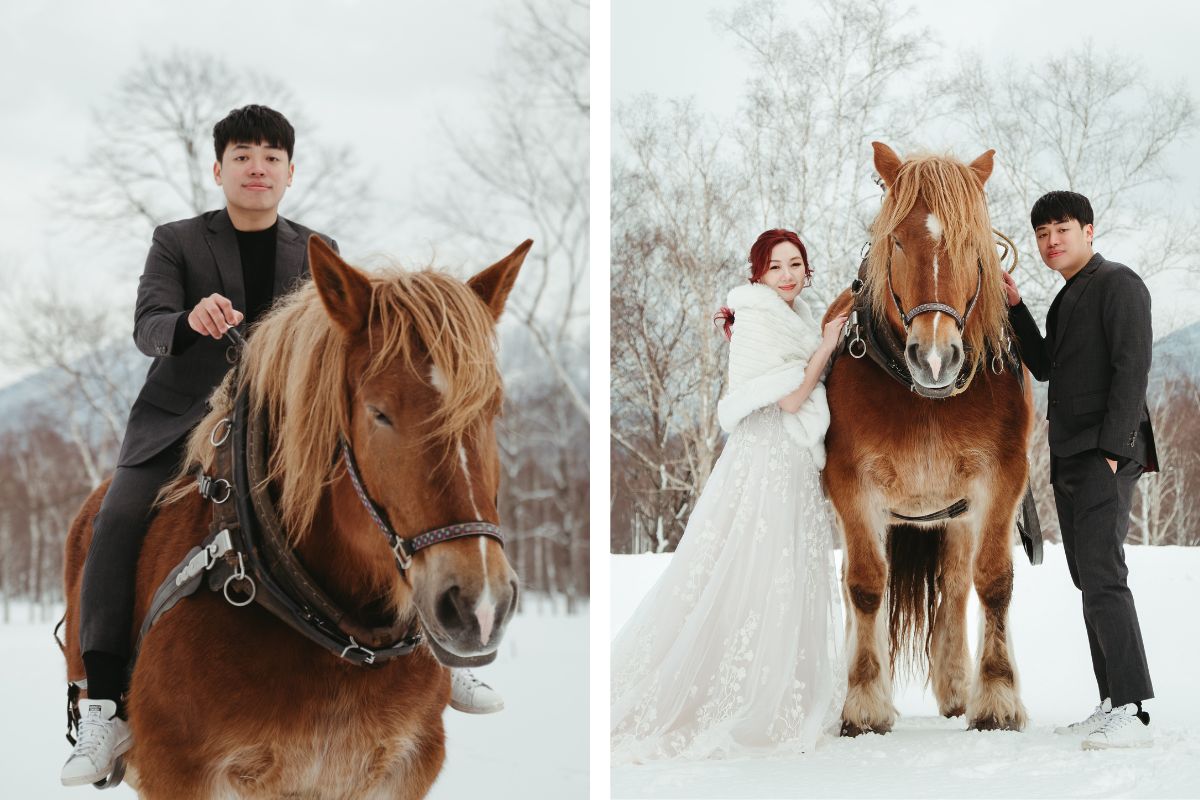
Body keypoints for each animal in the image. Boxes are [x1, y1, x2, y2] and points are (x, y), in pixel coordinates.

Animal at [825, 142, 1032, 734]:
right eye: (896, 239)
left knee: (957, 583)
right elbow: (865, 585)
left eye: (970, 243)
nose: (935, 357)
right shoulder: (851, 489)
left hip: (955, 514)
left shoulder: (1001, 481)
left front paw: (996, 697)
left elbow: (994, 580)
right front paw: (863, 702)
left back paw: (957, 683)